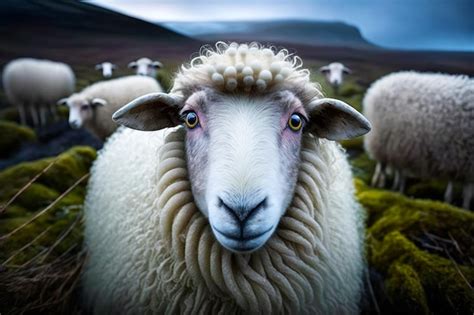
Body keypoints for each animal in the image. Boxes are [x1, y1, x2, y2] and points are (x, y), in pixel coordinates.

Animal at [364, 71, 472, 210]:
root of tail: (378, 84)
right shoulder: (465, 164)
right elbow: (467, 193)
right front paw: (464, 208)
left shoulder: (457, 161)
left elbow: (454, 186)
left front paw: (450, 202)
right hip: (381, 142)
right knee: (382, 167)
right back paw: (380, 185)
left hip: (397, 146)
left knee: (399, 170)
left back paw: (397, 188)